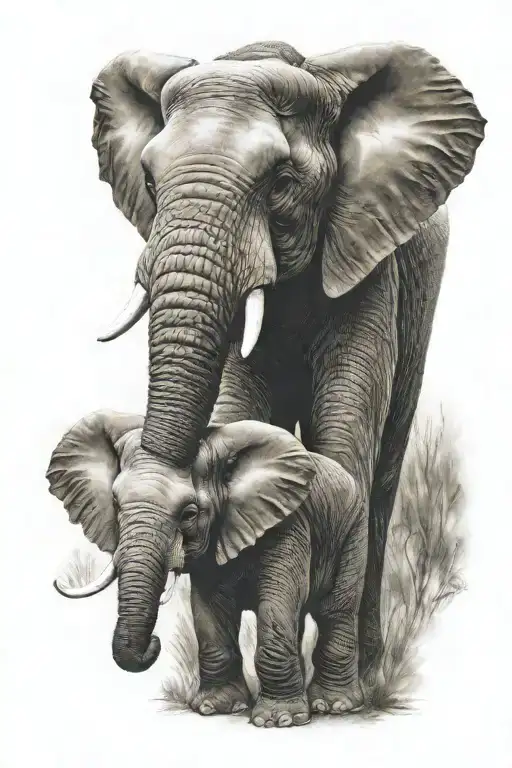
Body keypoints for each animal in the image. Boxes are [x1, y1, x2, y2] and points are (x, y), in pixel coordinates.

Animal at [48, 412, 369, 726]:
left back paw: (334, 705)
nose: (154, 642)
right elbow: (209, 608)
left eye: (189, 514)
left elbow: (279, 600)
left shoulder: (289, 522)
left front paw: (281, 720)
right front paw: (215, 708)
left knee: (334, 610)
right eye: (115, 505)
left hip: (353, 530)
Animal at [54, 39, 486, 678]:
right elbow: (239, 402)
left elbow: (348, 413)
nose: (149, 647)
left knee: (386, 466)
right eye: (150, 182)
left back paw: (369, 669)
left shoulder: (368, 255)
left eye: (281, 181)